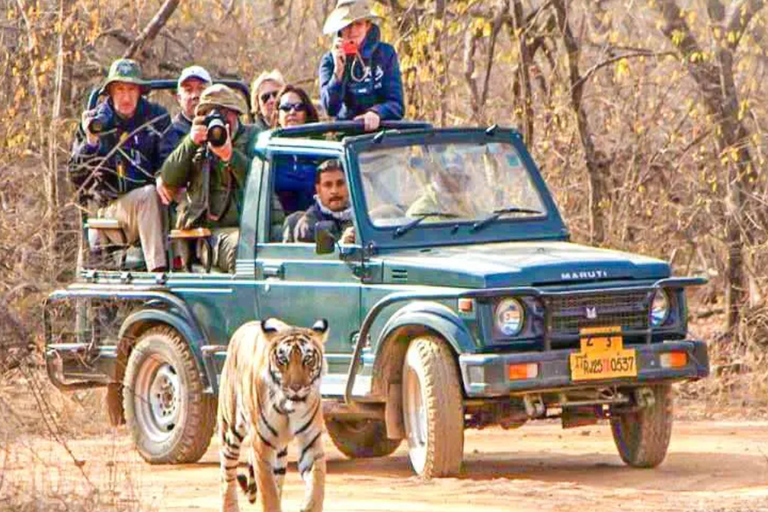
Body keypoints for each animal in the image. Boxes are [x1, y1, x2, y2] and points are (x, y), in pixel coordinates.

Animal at [216, 316, 328, 512]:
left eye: (308, 359)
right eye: (283, 360)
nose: (296, 387)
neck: (289, 408)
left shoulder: (311, 442)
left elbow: (317, 486)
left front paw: (309, 506)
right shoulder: (261, 447)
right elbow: (269, 494)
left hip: (280, 453)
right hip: (230, 430)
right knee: (227, 473)